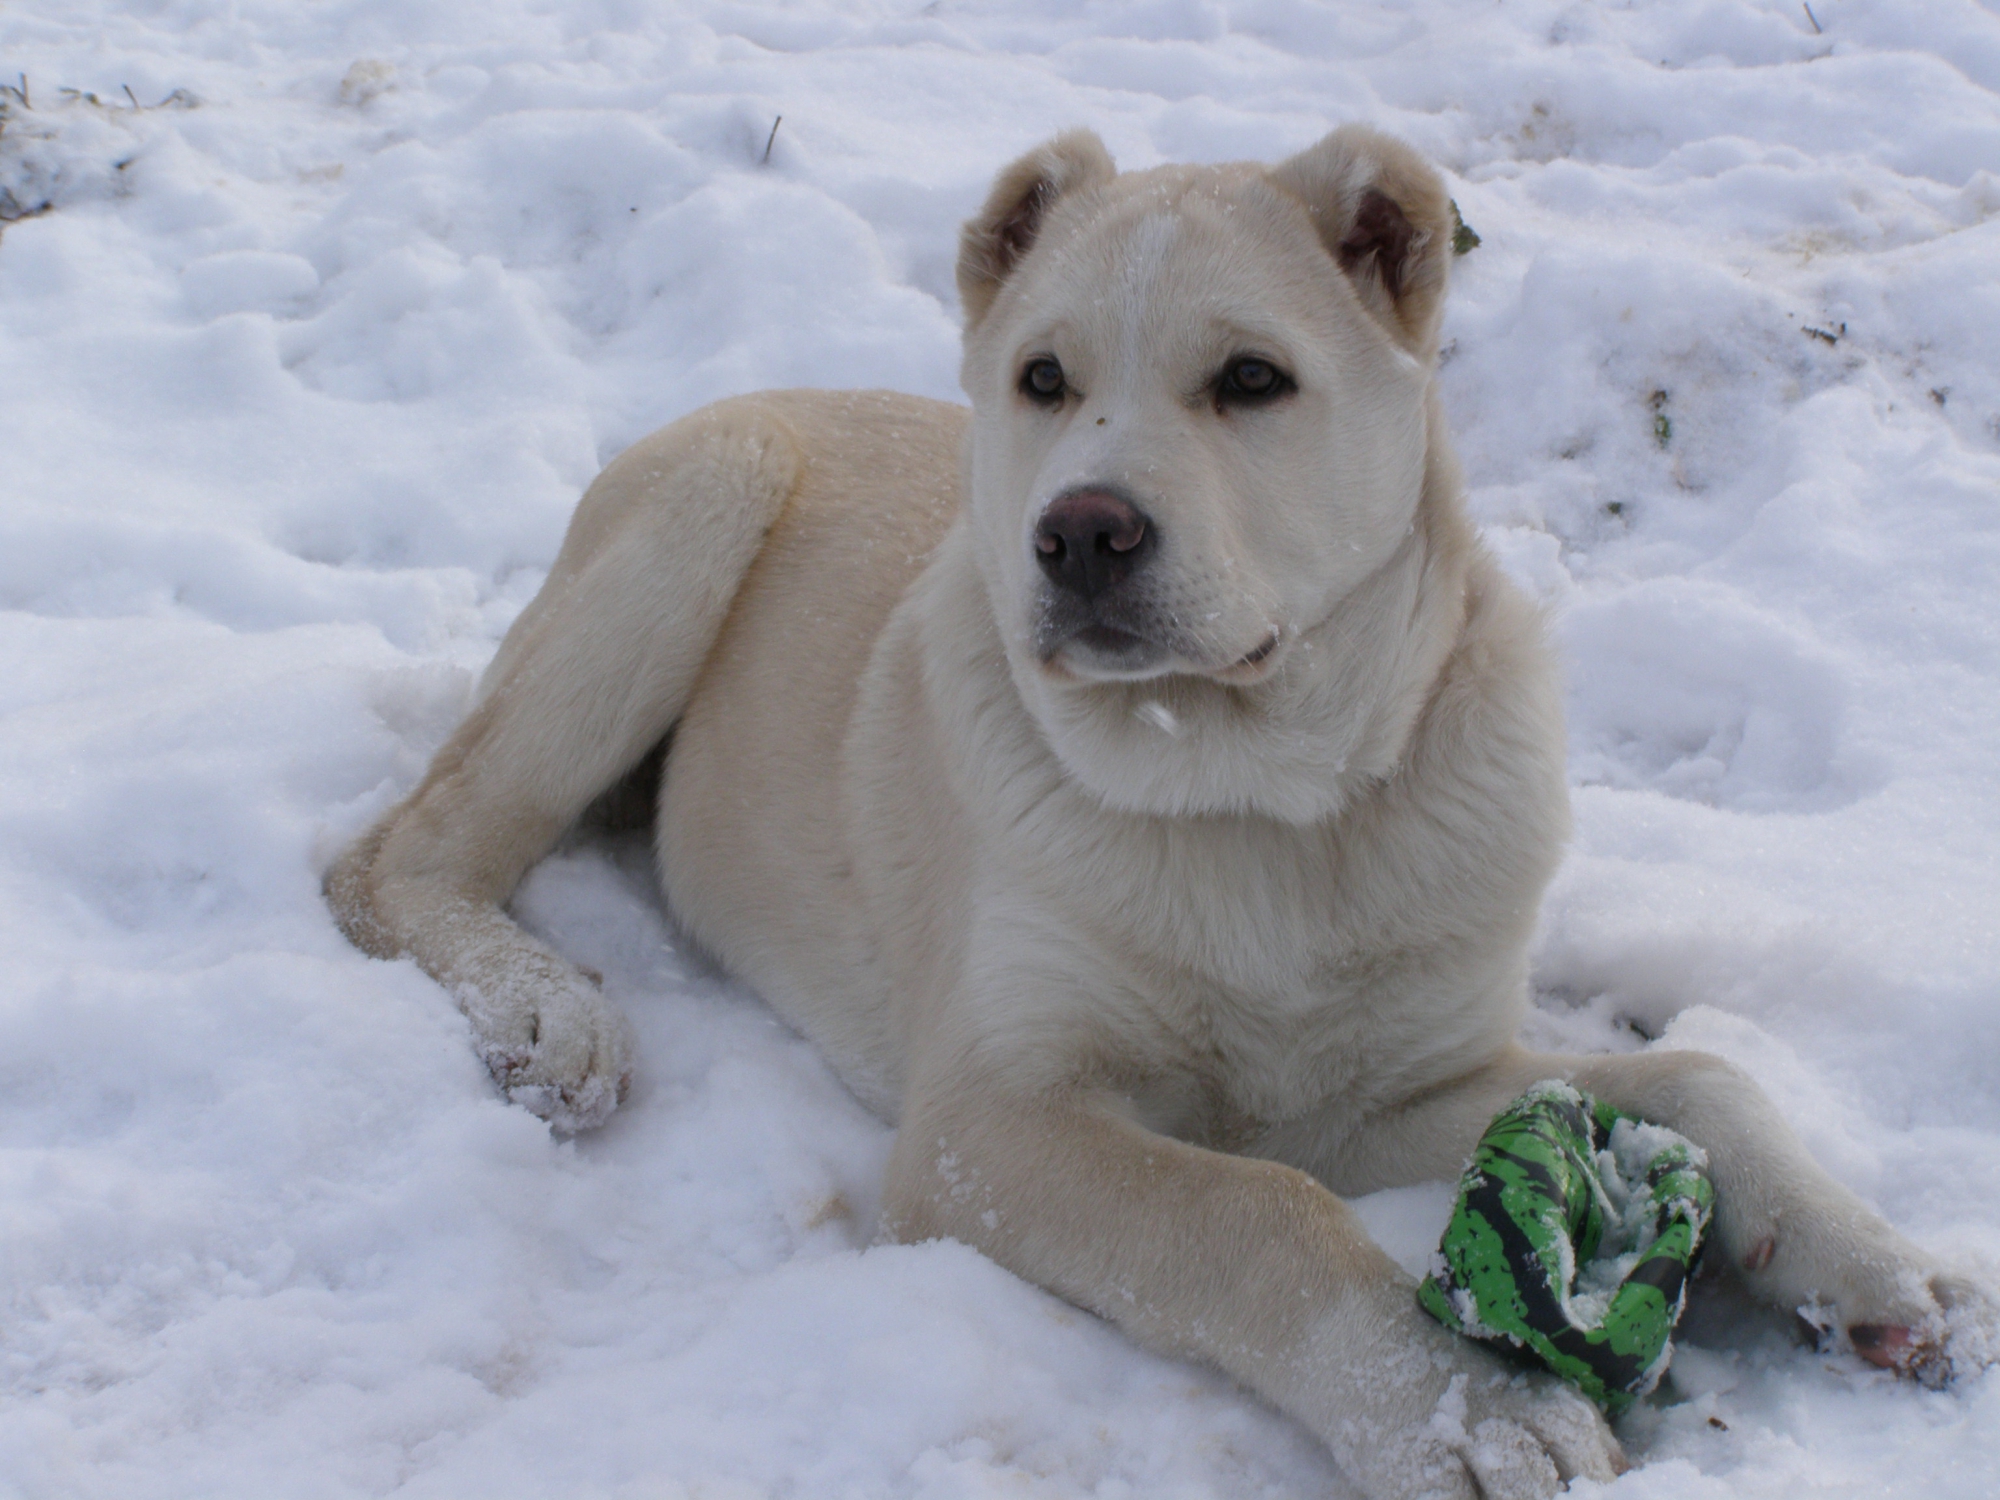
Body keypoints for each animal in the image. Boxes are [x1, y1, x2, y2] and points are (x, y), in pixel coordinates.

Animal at [324, 126, 1984, 1500]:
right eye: (1043, 381)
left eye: (1253, 380)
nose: (1080, 535)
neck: (1265, 808)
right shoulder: (987, 1124)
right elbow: (1248, 1211)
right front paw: (1461, 1408)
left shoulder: (1389, 1082)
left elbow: (1698, 1076)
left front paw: (1886, 1272)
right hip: (696, 511)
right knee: (392, 856)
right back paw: (548, 1014)